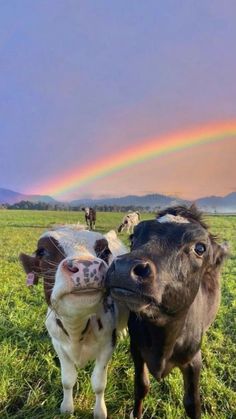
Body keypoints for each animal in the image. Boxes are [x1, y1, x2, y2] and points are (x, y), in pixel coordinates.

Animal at [19, 228, 128, 418]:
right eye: (41, 252)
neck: (77, 330)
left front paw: (100, 411)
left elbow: (99, 384)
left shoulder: (107, 345)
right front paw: (67, 408)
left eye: (105, 251)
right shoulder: (58, 345)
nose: (87, 266)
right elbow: (67, 380)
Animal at [107, 205, 229, 418]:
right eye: (133, 237)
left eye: (200, 248)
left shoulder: (193, 361)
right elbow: (141, 386)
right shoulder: (136, 349)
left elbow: (193, 403)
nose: (123, 267)